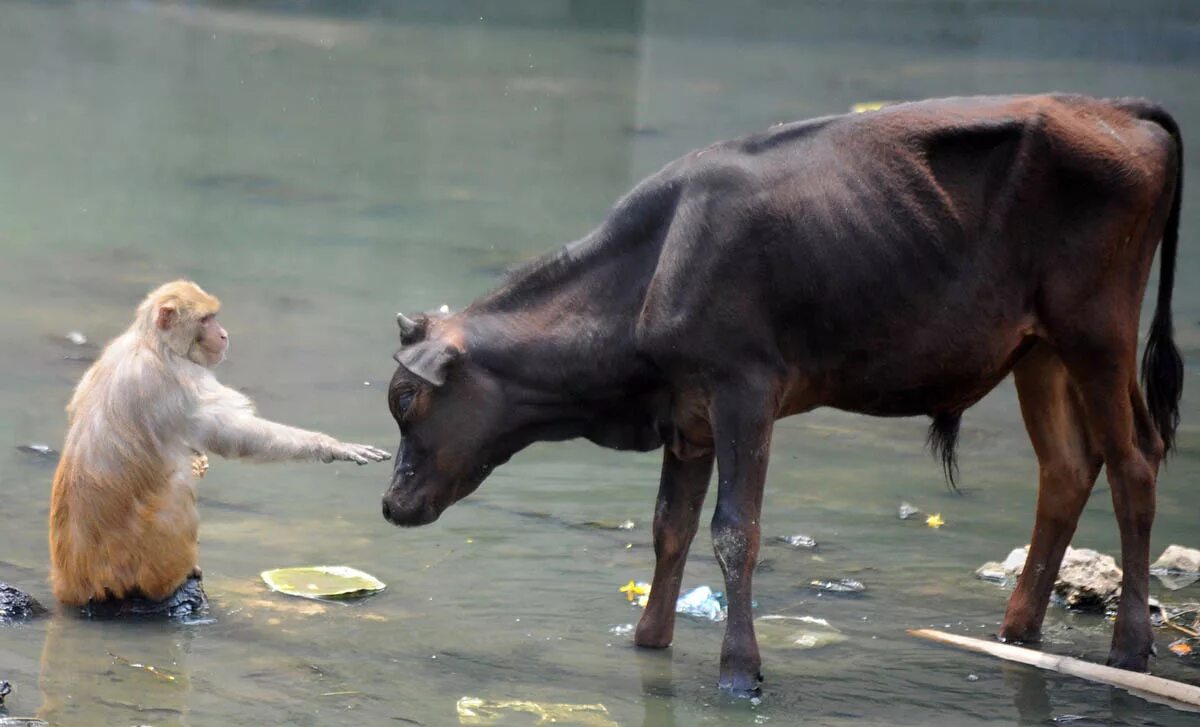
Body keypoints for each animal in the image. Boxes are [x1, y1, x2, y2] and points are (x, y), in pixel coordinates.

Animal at [50, 281, 388, 619]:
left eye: (214, 317)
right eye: (205, 320)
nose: (224, 334)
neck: (153, 343)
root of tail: (77, 587)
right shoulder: (182, 379)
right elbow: (231, 432)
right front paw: (329, 446)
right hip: (145, 566)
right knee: (179, 488)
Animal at [384, 94, 1180, 695]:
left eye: (404, 399)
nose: (391, 504)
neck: (651, 267)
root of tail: (1115, 108)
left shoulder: (745, 390)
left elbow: (735, 530)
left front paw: (740, 670)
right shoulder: (688, 416)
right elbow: (669, 526)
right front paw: (649, 641)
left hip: (1097, 330)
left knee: (1135, 463)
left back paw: (1130, 649)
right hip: (1039, 350)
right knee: (1067, 469)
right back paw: (1016, 632)